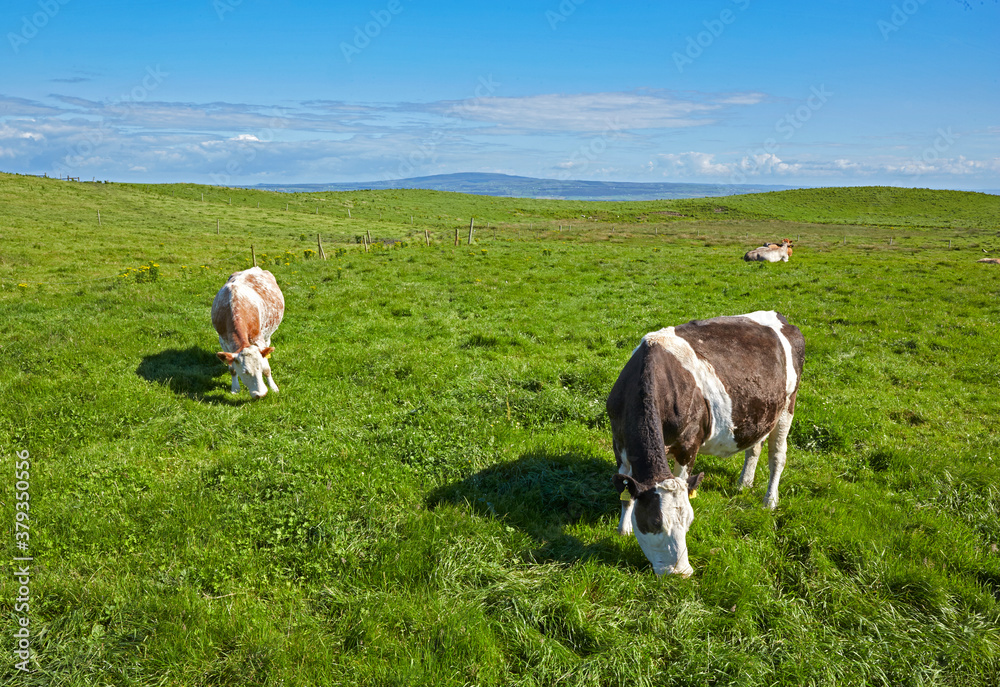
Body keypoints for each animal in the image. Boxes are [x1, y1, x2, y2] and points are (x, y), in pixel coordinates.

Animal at [211, 266, 285, 399]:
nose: (261, 394)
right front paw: (235, 388)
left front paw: (273, 387)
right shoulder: (224, 341)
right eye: (244, 371)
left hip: (267, 335)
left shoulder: (258, 339)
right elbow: (232, 369)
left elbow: (267, 367)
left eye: (259, 369)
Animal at [606, 311, 805, 577]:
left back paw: (770, 501)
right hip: (762, 412)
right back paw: (744, 483)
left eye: (689, 521)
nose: (681, 573)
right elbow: (626, 493)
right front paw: (623, 529)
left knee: (777, 456)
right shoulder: (619, 443)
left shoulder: (689, 444)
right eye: (656, 522)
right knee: (754, 446)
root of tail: (780, 316)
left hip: (787, 407)